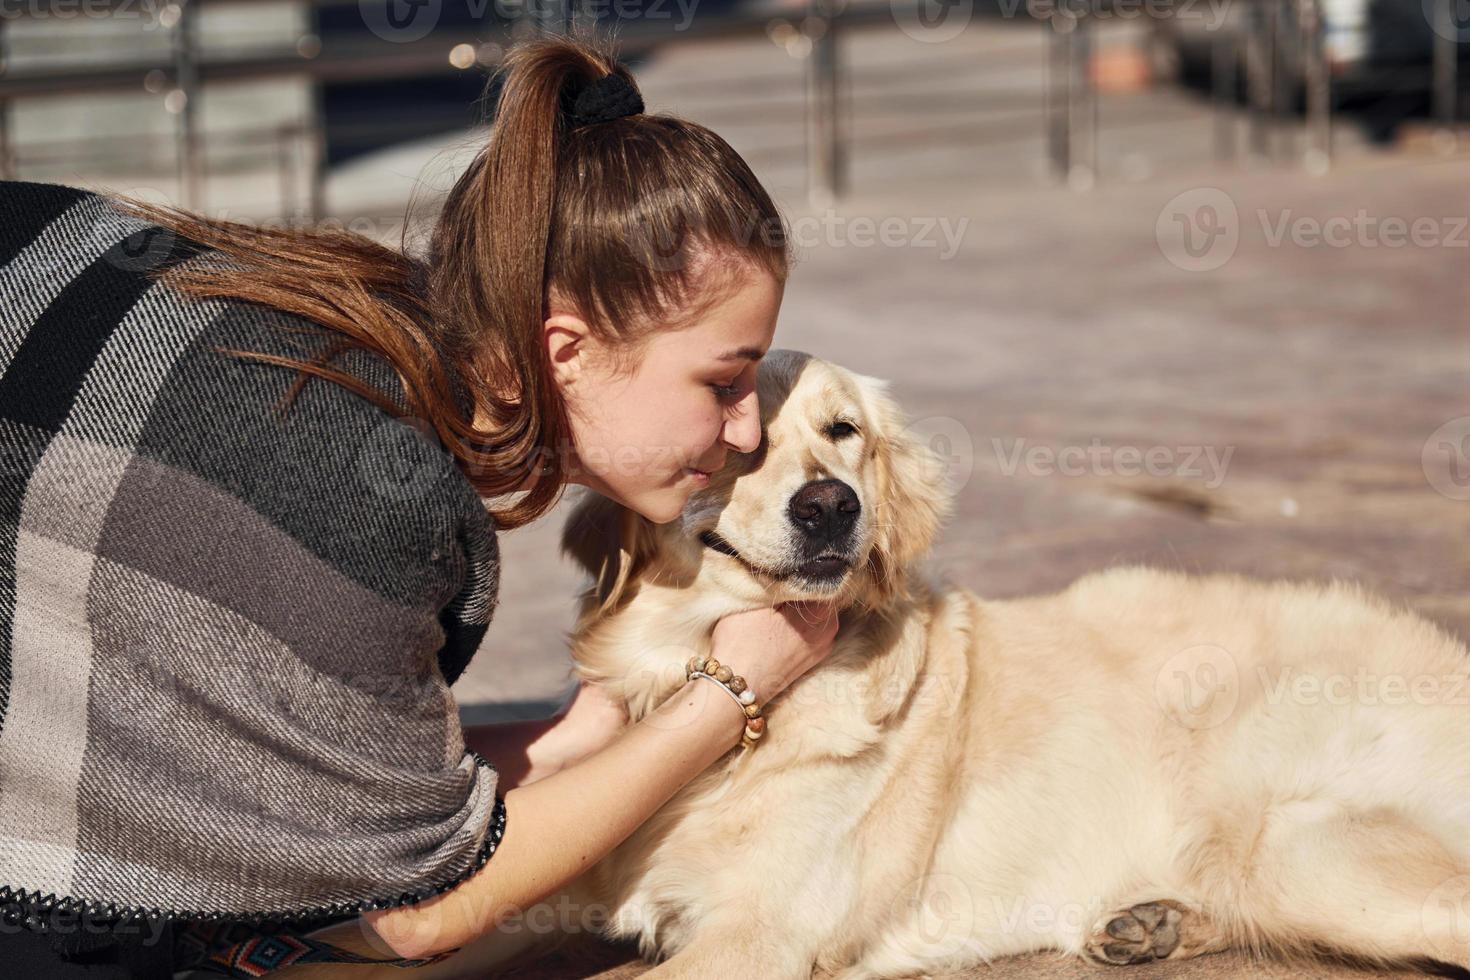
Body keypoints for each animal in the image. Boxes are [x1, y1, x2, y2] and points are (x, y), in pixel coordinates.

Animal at [429, 352, 1470, 980]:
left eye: (843, 431)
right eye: (734, 442)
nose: (830, 507)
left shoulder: (758, 935)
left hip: (1308, 843)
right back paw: (1155, 920)